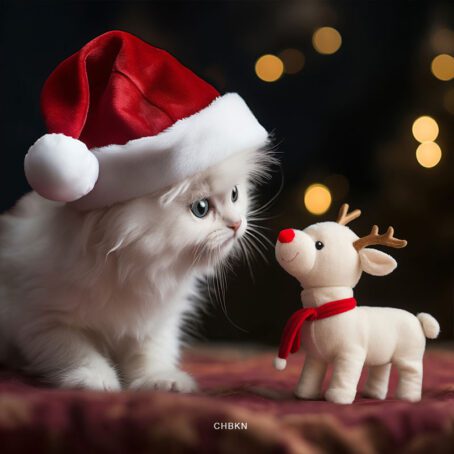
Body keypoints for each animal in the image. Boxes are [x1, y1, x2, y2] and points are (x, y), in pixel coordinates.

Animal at [0, 148, 274, 390]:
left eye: (235, 195)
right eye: (201, 209)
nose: (237, 224)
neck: (133, 272)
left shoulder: (157, 320)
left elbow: (152, 355)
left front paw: (161, 381)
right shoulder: (42, 321)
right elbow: (76, 352)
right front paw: (93, 380)